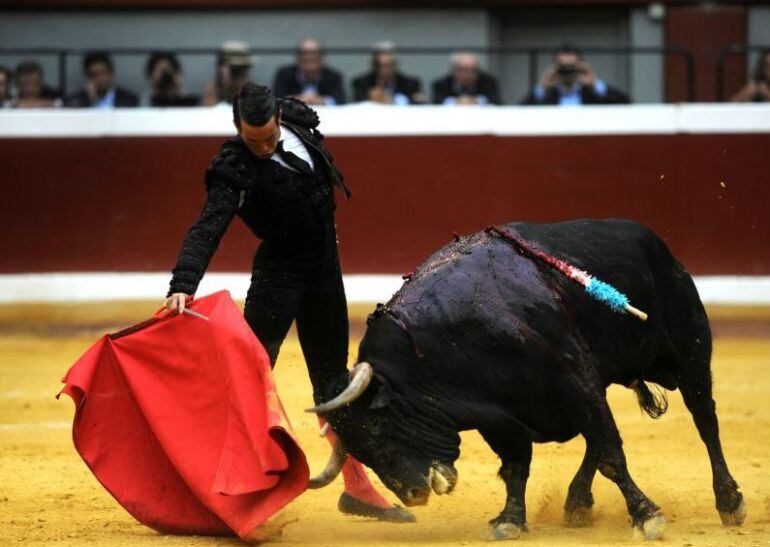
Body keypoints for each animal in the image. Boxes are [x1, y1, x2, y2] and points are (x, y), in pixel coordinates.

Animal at [306, 220, 744, 540]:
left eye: (377, 427)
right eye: (358, 449)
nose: (413, 495)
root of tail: (655, 242)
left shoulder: (573, 378)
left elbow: (610, 453)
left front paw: (646, 515)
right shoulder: (499, 414)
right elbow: (517, 465)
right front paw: (510, 519)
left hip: (689, 353)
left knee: (705, 419)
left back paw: (729, 501)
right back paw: (577, 502)